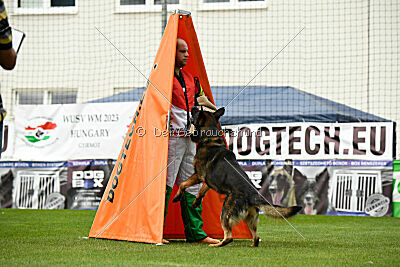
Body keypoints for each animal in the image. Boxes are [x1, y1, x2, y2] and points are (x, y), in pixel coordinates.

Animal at [172, 106, 300, 247]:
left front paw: (177, 196)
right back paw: (252, 244)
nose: (194, 107)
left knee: (229, 237)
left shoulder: (199, 175)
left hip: (225, 211)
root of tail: (253, 195)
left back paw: (217, 244)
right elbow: (201, 191)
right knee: (256, 237)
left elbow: (183, 184)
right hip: (250, 218)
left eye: (196, 113)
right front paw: (196, 202)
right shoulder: (208, 181)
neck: (210, 137)